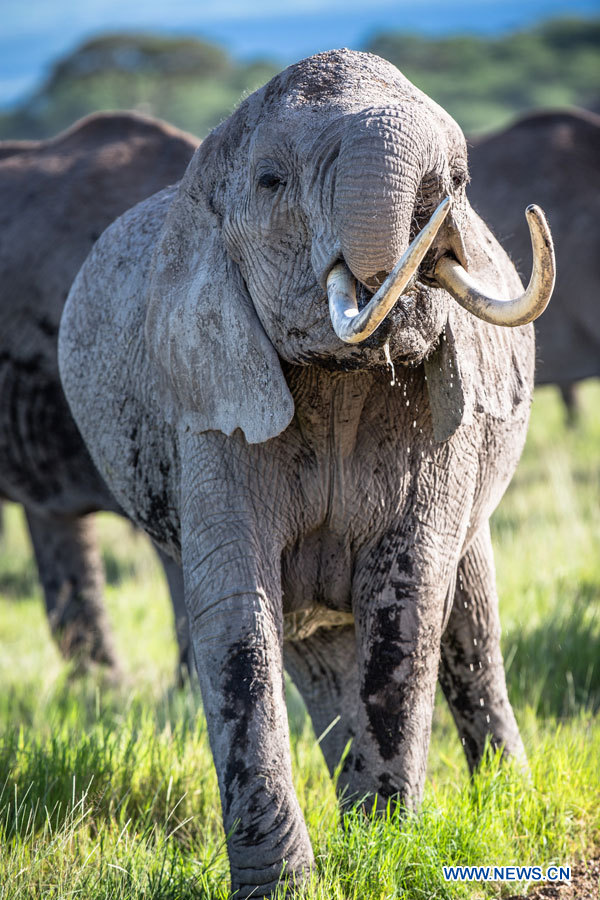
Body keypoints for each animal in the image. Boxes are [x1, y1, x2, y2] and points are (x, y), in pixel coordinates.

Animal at [58, 52, 556, 896]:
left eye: (461, 177)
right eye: (269, 181)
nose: (439, 207)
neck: (344, 372)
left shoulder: (439, 425)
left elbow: (408, 601)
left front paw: (390, 853)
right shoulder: (210, 404)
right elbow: (237, 619)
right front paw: (288, 884)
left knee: (472, 632)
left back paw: (498, 809)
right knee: (313, 647)